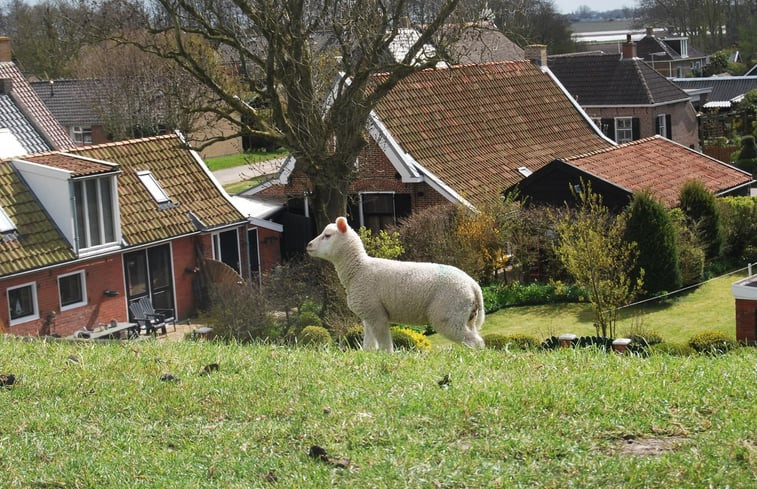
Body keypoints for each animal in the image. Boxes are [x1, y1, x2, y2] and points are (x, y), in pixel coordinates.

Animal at [306, 215, 484, 348]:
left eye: (327, 235)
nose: (308, 245)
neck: (358, 270)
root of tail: (473, 286)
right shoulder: (368, 315)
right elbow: (369, 346)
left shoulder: (377, 315)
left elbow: (385, 346)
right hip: (465, 315)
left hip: (448, 313)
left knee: (474, 342)